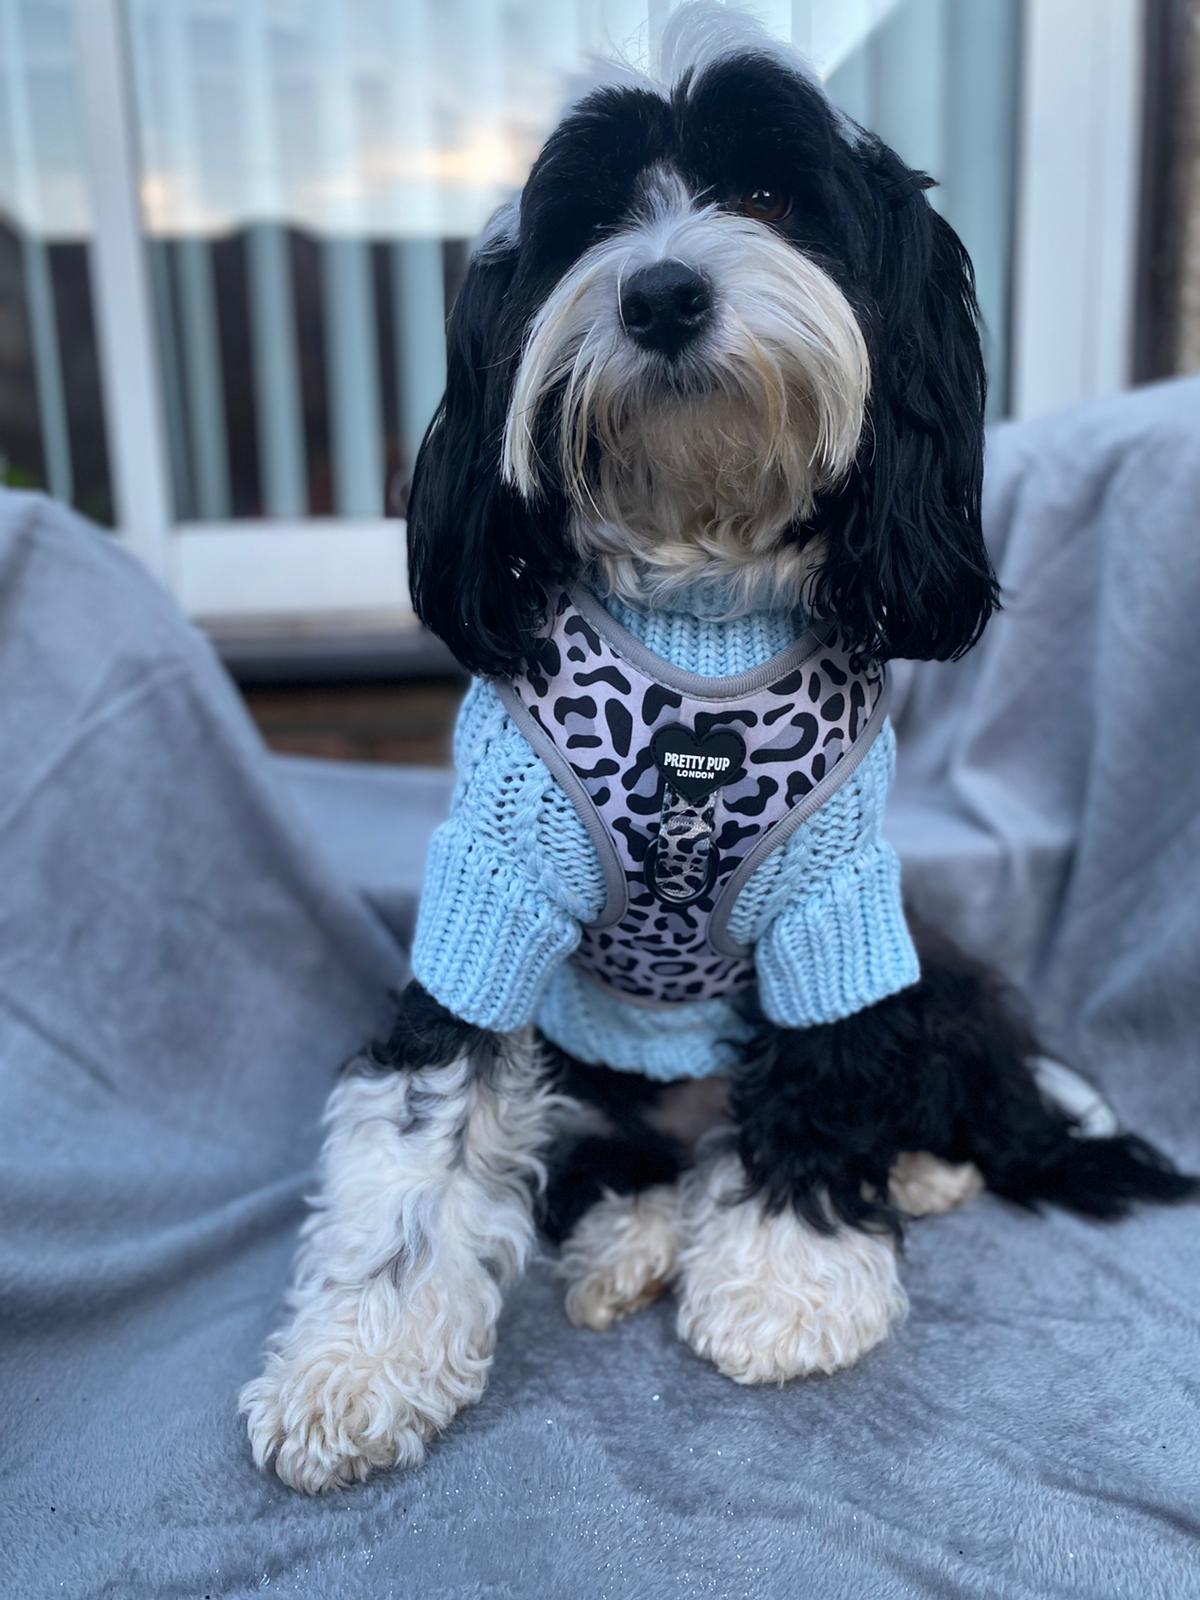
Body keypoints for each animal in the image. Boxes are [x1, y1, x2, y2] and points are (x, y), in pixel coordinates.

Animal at [240, 6, 1196, 1491]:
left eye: (771, 197)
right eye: (590, 223)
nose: (661, 293)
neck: (698, 603)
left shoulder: (836, 900)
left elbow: (822, 1073)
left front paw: (790, 1284)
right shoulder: (491, 887)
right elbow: (424, 1120)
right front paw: (357, 1362)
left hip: (931, 963)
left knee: (923, 1077)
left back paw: (907, 1172)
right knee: (608, 1161)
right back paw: (631, 1243)